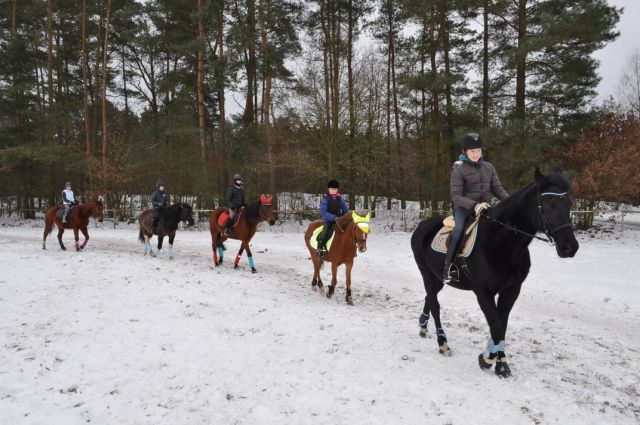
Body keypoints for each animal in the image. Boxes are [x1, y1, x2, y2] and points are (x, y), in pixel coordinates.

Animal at [410, 167, 580, 376]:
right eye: (548, 203)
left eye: (569, 203)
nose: (569, 247)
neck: (502, 242)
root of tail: (421, 226)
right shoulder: (483, 292)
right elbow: (497, 327)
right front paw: (486, 359)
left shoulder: (511, 290)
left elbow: (501, 325)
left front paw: (501, 364)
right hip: (426, 273)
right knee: (435, 305)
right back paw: (443, 343)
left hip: (438, 278)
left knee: (429, 297)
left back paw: (423, 326)